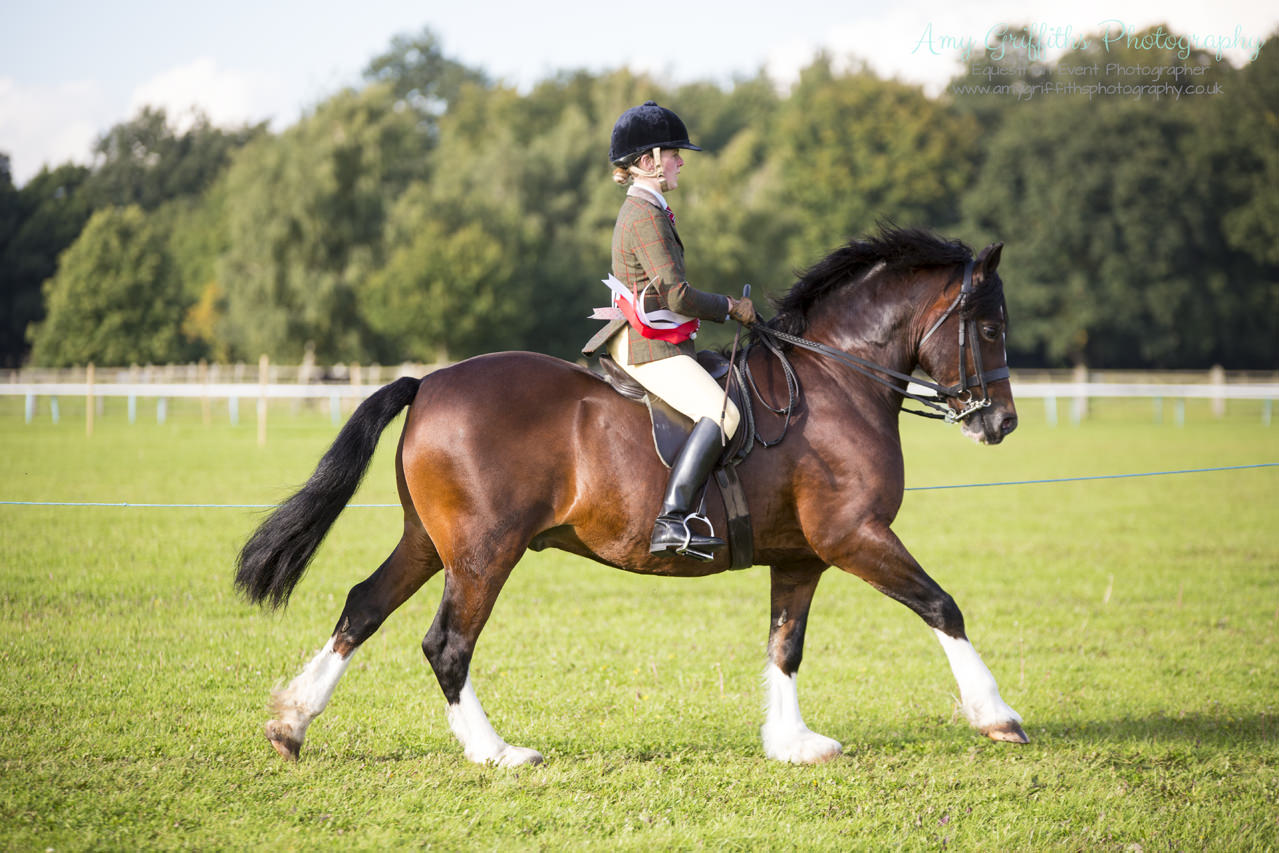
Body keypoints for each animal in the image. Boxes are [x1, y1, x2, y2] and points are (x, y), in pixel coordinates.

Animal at [232, 226, 1028, 767]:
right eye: (990, 326)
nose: (1001, 423)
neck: (836, 382)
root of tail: (427, 382)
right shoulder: (854, 535)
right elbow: (941, 605)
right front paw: (997, 715)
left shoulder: (801, 557)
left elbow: (785, 645)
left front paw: (792, 740)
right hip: (485, 551)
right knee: (447, 644)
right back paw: (498, 752)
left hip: (431, 542)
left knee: (362, 606)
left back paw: (290, 724)